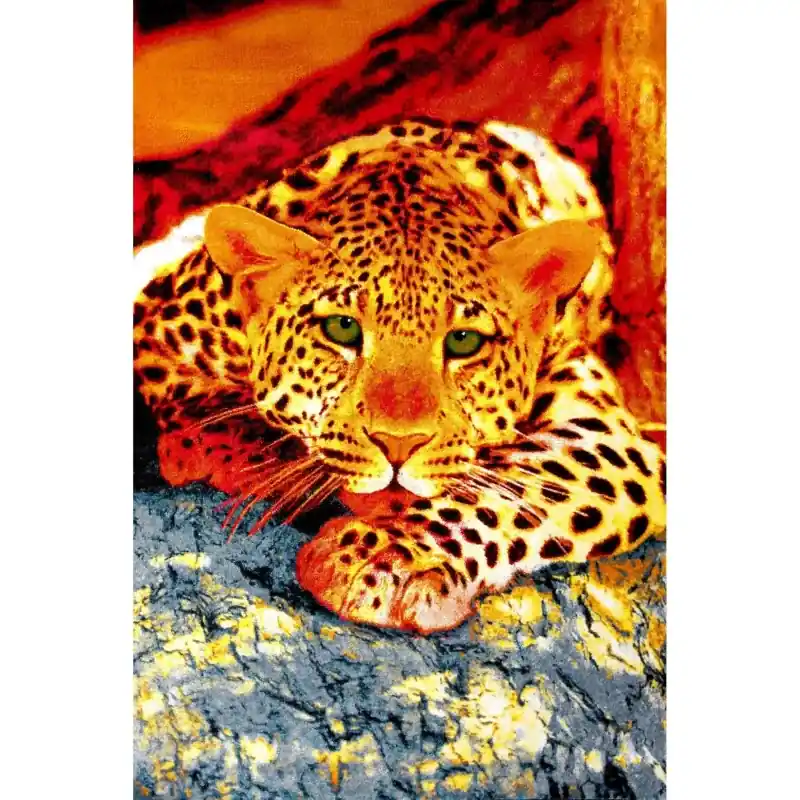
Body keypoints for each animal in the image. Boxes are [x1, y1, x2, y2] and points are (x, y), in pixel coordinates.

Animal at [134, 118, 666, 634]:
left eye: (464, 341)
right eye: (342, 328)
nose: (398, 444)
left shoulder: (606, 432)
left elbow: (514, 486)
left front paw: (388, 561)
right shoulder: (157, 323)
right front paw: (243, 457)